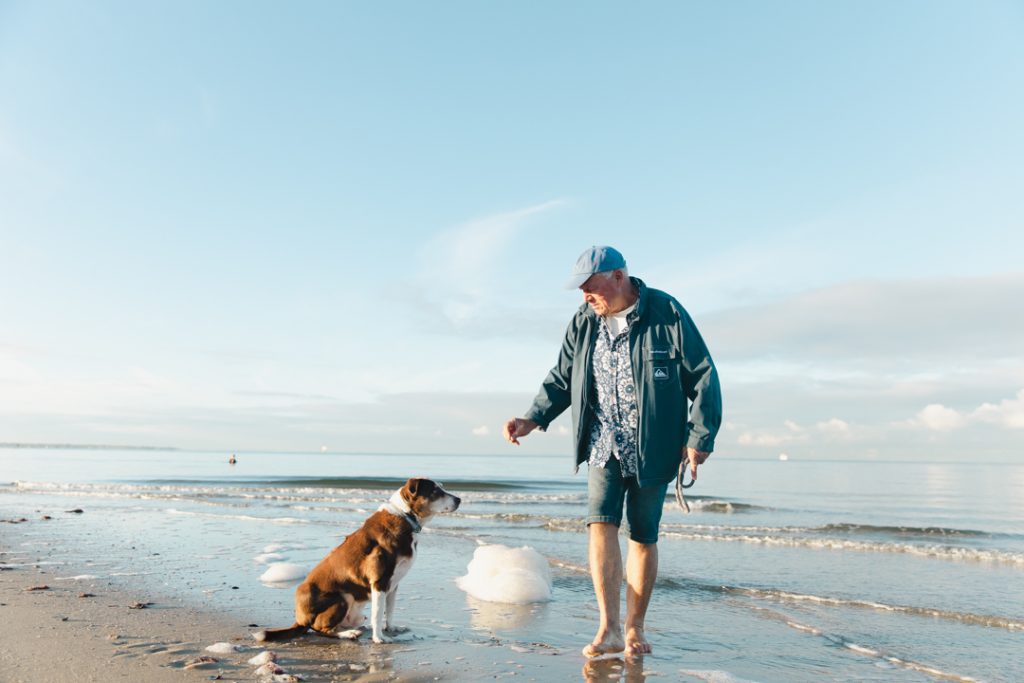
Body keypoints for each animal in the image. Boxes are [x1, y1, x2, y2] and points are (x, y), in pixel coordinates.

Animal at [253, 479, 462, 643]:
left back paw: (354, 629)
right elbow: (378, 613)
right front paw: (379, 638)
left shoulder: (393, 584)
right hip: (342, 597)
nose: (459, 499)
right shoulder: (379, 581)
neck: (405, 516)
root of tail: (300, 619)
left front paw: (391, 629)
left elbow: (389, 610)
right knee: (321, 630)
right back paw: (348, 634)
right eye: (435, 491)